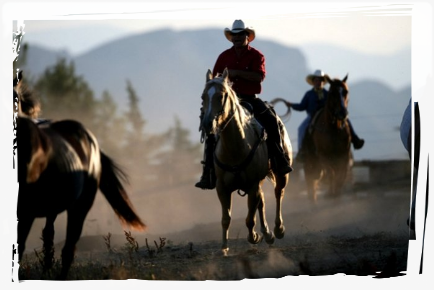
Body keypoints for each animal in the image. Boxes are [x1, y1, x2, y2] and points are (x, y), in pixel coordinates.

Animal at [200, 68, 292, 254]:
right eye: (203, 97)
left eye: (221, 96)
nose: (207, 124)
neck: (235, 147)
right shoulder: (222, 187)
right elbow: (226, 218)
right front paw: (224, 247)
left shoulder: (253, 184)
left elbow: (249, 219)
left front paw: (254, 237)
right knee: (262, 202)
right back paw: (268, 234)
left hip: (280, 175)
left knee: (278, 193)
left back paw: (277, 229)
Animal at [302, 74, 352, 202]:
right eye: (332, 93)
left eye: (345, 91)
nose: (342, 113)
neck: (333, 129)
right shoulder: (323, 156)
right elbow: (331, 173)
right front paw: (331, 193)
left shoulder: (344, 155)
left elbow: (341, 175)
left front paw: (336, 192)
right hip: (310, 161)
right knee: (311, 181)